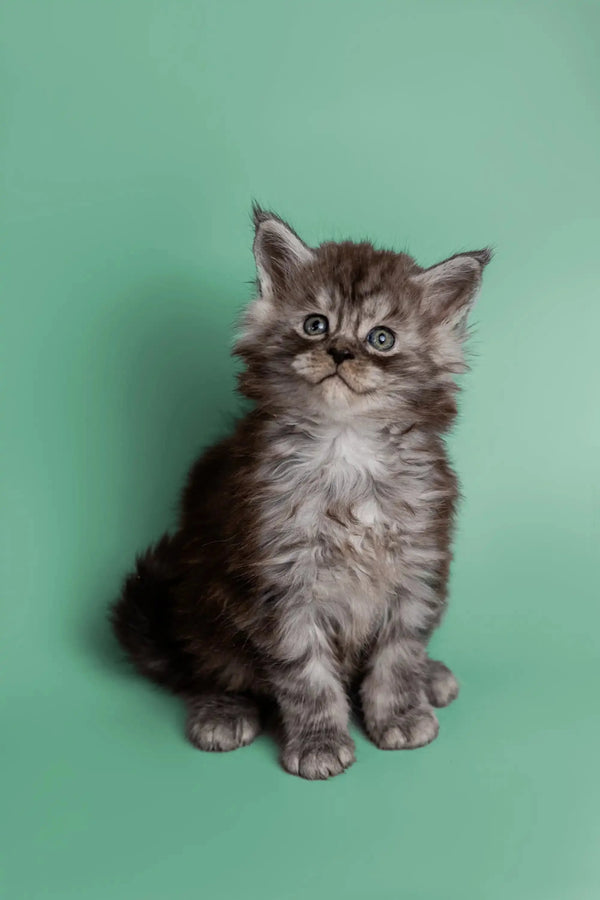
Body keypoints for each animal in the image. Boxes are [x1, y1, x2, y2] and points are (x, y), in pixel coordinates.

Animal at [110, 206, 490, 780]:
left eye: (381, 338)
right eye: (316, 325)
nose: (340, 351)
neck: (347, 447)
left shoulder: (416, 569)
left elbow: (398, 654)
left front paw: (401, 712)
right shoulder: (281, 582)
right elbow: (307, 677)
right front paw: (318, 742)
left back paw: (431, 675)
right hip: (201, 603)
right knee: (205, 667)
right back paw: (223, 709)